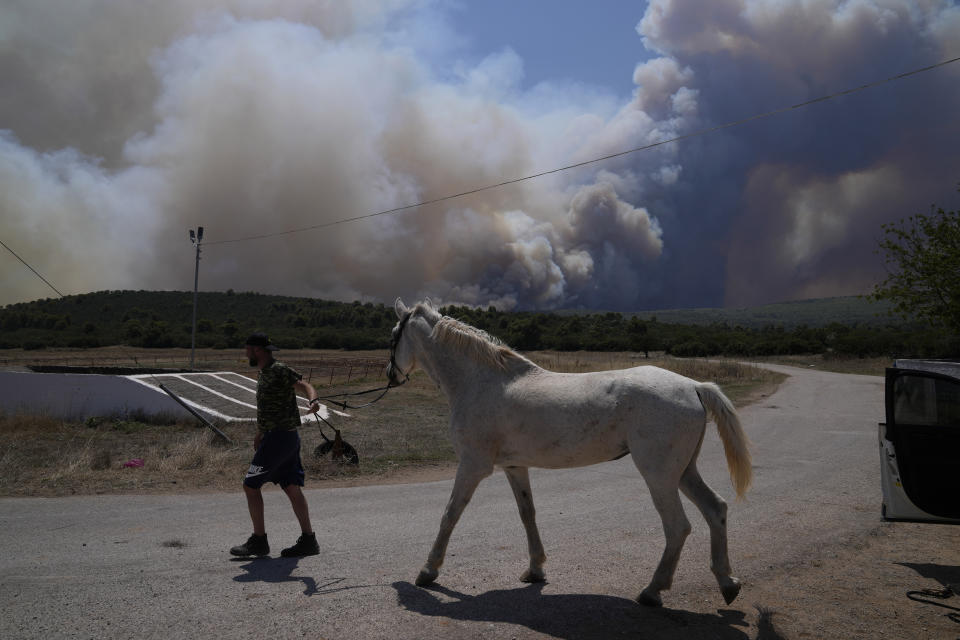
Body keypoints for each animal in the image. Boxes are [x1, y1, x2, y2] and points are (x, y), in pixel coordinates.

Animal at [386, 298, 752, 608]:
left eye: (393, 336)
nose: (391, 376)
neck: (481, 382)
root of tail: (694, 386)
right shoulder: (515, 467)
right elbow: (527, 514)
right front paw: (535, 569)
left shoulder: (473, 466)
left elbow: (450, 514)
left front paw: (428, 571)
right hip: (684, 471)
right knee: (715, 509)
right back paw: (727, 583)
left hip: (660, 475)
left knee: (677, 527)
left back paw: (652, 591)